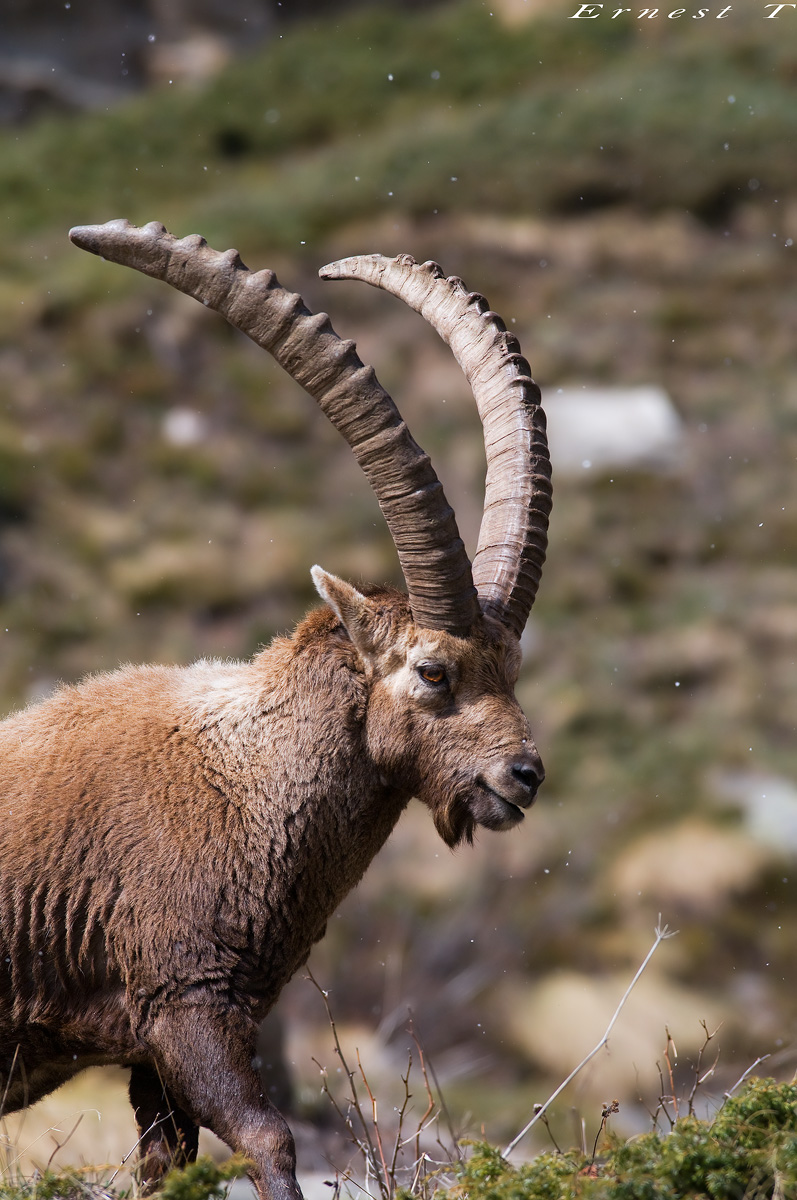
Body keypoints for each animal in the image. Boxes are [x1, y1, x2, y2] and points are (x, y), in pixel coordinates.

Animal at [0, 221, 552, 1199]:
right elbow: (268, 1138)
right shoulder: (187, 1004)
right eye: (432, 672)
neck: (245, 775)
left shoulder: (153, 1051)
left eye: (511, 666)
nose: (520, 776)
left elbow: (168, 1164)